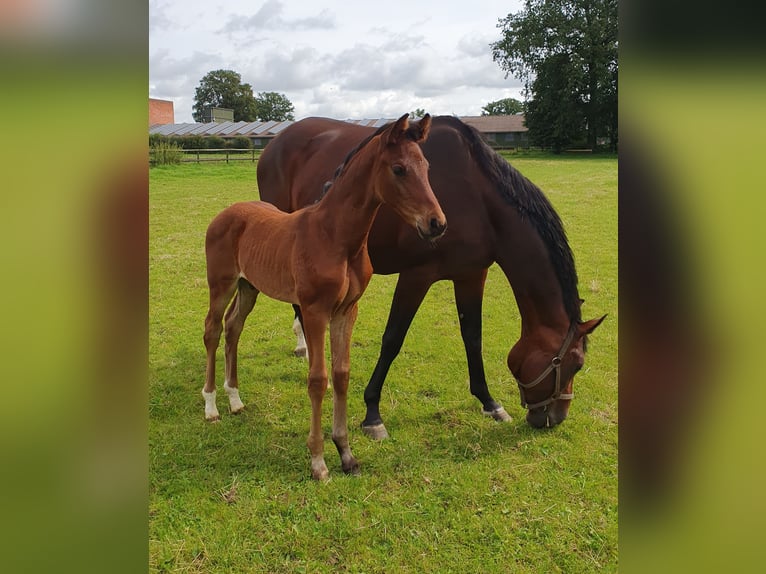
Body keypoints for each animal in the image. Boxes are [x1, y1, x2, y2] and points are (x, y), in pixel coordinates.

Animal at [204, 113, 448, 482]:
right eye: (399, 169)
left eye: (427, 166)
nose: (437, 223)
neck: (336, 236)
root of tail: (225, 213)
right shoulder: (315, 310)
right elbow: (318, 379)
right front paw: (318, 461)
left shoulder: (347, 310)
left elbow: (341, 374)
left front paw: (346, 454)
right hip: (221, 284)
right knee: (213, 331)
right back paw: (211, 406)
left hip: (249, 287)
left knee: (233, 328)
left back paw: (235, 400)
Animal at [258, 117, 608, 440]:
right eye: (575, 364)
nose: (555, 417)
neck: (477, 198)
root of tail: (276, 142)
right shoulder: (416, 275)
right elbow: (393, 339)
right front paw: (373, 414)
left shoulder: (472, 275)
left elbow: (473, 337)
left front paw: (489, 402)